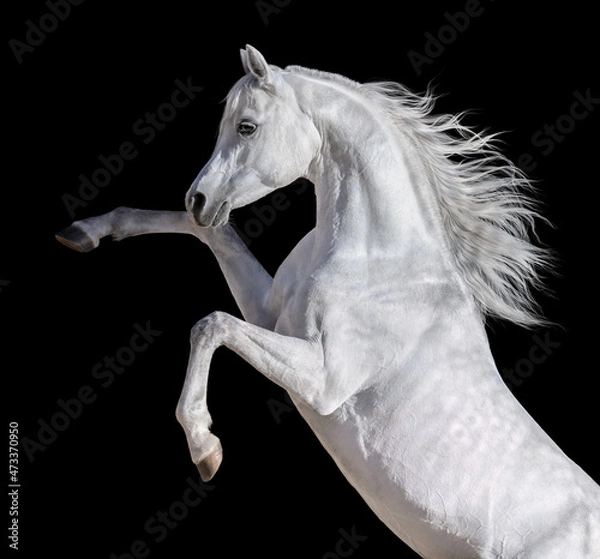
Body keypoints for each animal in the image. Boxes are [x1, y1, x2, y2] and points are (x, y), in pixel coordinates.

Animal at [55, 46, 596, 556]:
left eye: (246, 127)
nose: (199, 199)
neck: (379, 261)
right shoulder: (270, 315)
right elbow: (212, 239)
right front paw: (87, 231)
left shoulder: (324, 380)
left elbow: (212, 324)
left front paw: (205, 447)